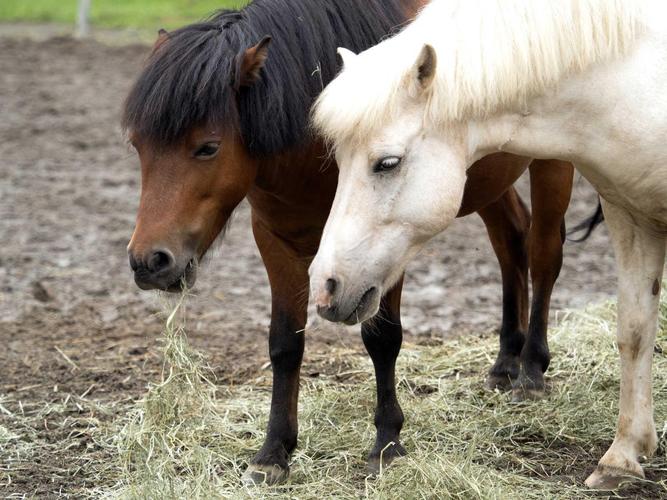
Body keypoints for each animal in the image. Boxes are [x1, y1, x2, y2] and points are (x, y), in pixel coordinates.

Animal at [123, 0, 575, 485]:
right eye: (137, 145)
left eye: (208, 147)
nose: (149, 261)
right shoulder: (276, 240)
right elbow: (284, 344)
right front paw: (274, 451)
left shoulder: (386, 246)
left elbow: (383, 339)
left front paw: (387, 444)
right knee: (511, 240)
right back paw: (506, 362)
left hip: (554, 161)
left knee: (544, 253)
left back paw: (531, 371)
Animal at [310, 0, 666, 490]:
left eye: (387, 163)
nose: (325, 286)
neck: (633, 75)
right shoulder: (630, 216)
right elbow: (634, 331)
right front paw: (622, 457)